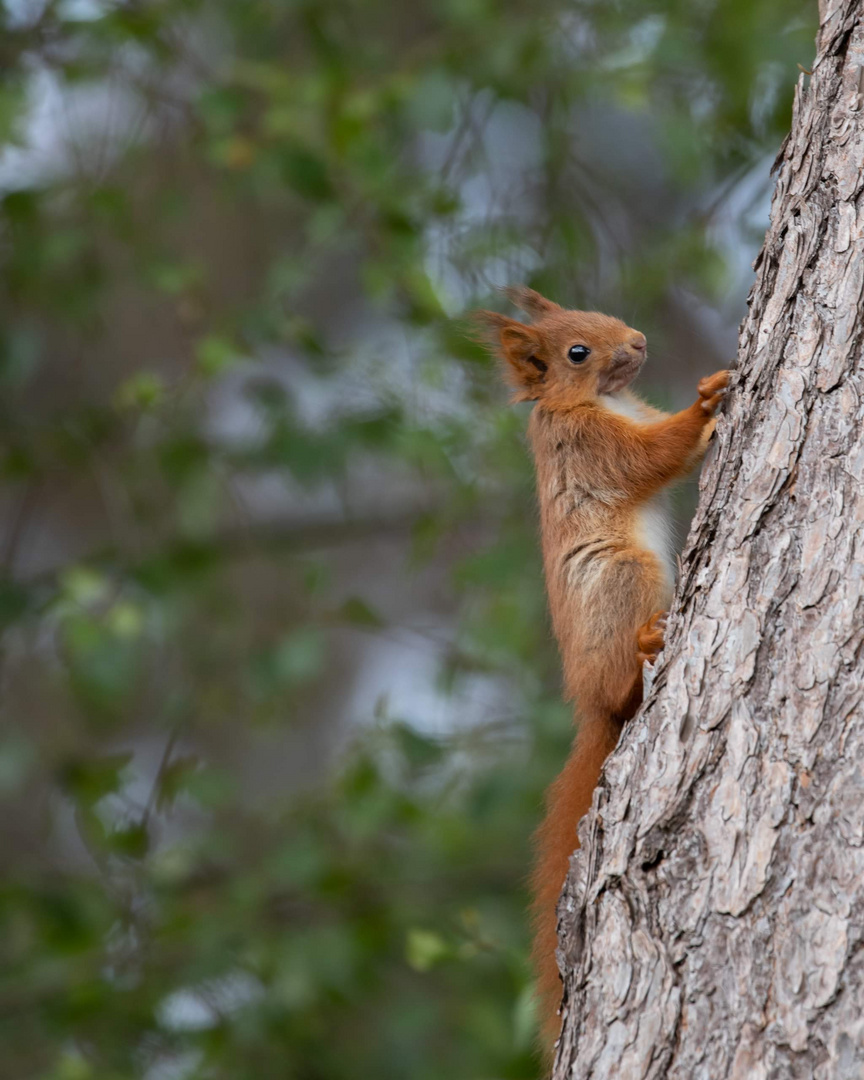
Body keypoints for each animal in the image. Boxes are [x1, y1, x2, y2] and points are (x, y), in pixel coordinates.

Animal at [473, 287, 730, 1045]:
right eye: (576, 352)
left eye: (595, 310)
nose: (639, 340)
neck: (600, 402)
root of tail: (588, 707)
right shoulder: (591, 447)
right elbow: (650, 456)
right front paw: (706, 402)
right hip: (624, 575)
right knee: (621, 685)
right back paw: (644, 647)